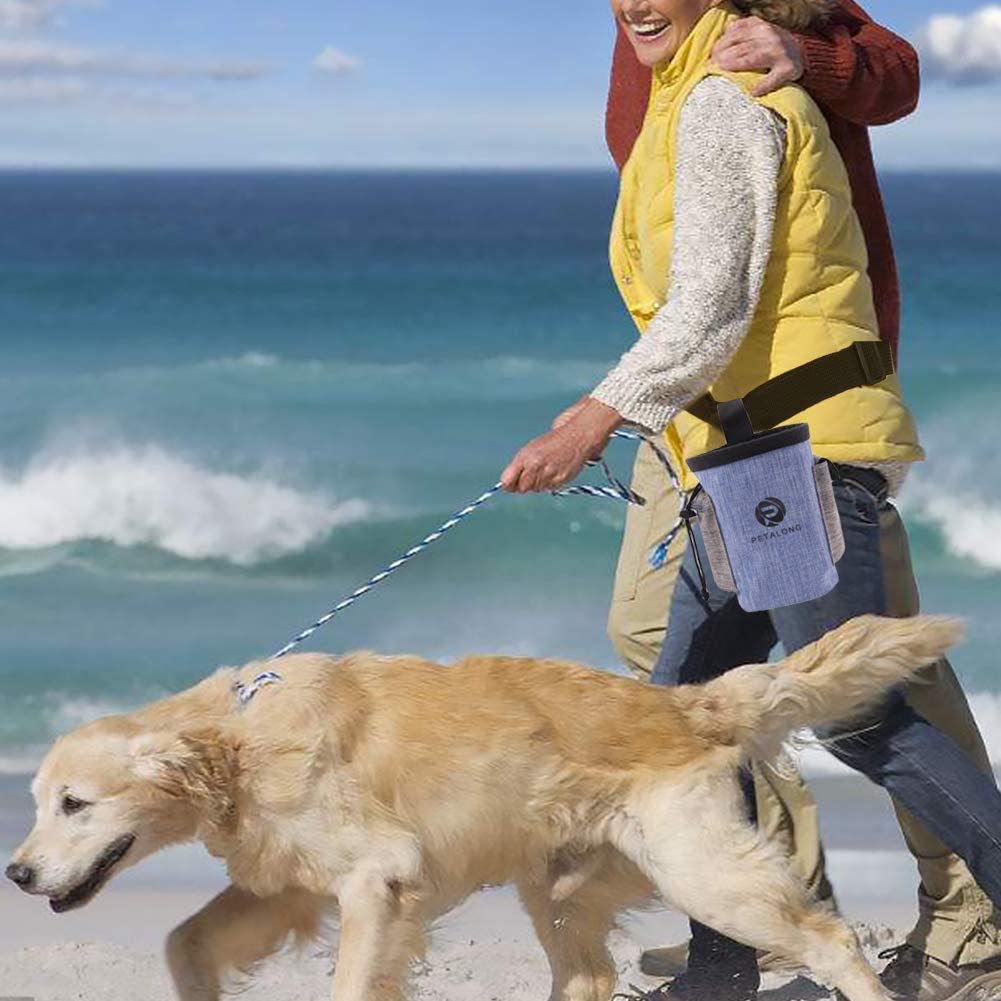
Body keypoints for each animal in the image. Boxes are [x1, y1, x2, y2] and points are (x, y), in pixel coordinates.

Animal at [5, 608, 960, 1001]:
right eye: (39, 802)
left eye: (75, 803)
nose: (16, 872)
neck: (237, 740)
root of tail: (686, 702)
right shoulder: (288, 886)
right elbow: (184, 941)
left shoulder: (377, 879)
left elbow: (352, 979)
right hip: (560, 886)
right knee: (588, 975)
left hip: (701, 870)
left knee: (828, 937)